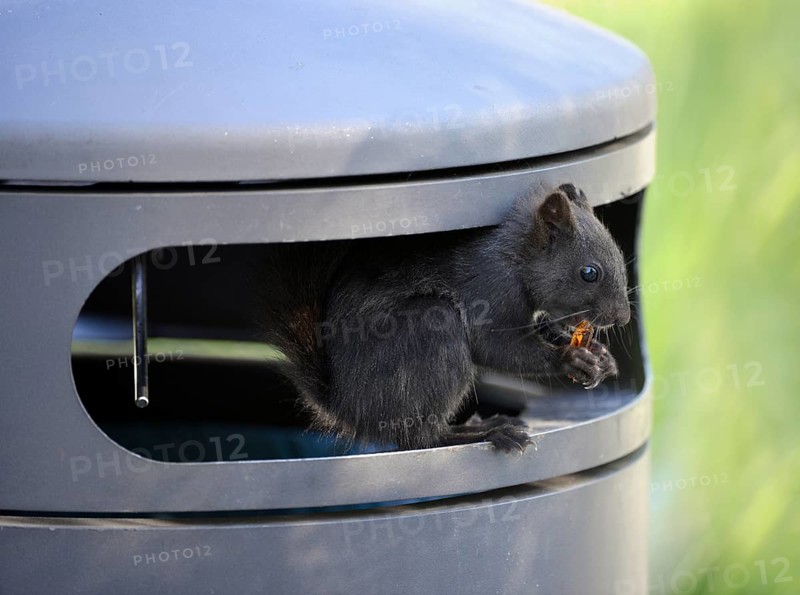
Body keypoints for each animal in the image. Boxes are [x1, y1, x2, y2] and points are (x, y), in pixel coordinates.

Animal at [258, 184, 631, 453]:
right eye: (589, 273)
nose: (622, 318)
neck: (516, 259)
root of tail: (347, 409)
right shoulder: (489, 288)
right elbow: (496, 346)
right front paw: (569, 358)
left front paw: (601, 357)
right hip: (428, 331)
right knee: (418, 439)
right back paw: (486, 433)